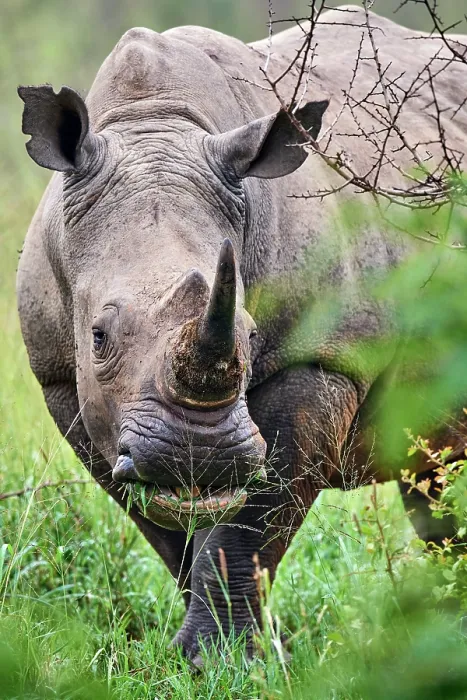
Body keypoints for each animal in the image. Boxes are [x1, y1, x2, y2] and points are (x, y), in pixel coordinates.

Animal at [17, 5, 467, 661]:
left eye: (250, 338)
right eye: (97, 336)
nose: (197, 456)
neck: (155, 124)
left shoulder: (318, 359)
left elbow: (250, 522)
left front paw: (223, 659)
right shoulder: (59, 377)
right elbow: (168, 533)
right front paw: (237, 656)